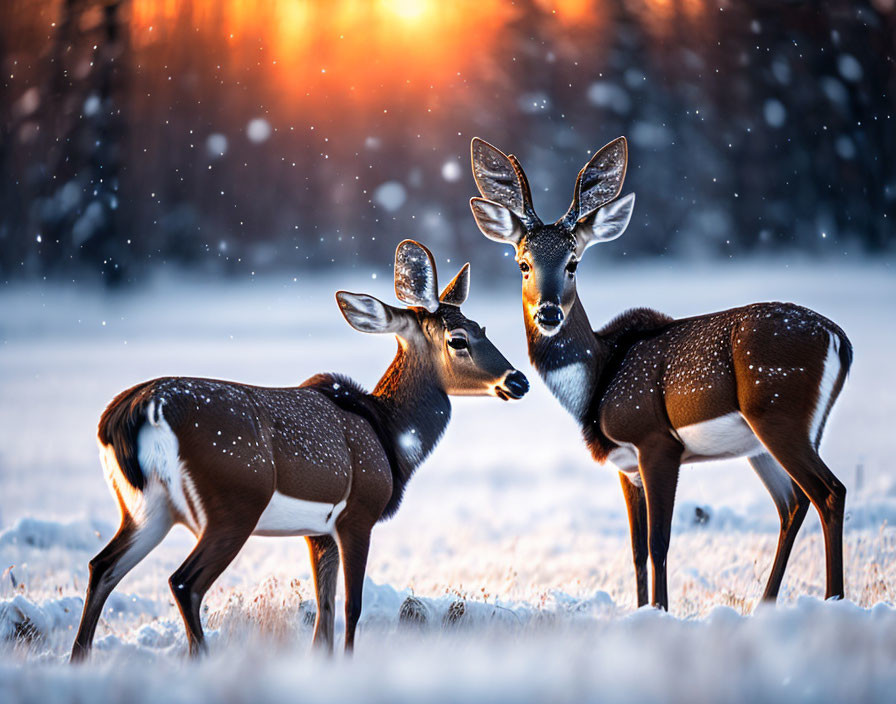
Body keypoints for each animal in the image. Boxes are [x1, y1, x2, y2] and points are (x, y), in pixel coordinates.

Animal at [72, 241, 532, 660]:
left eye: (483, 327)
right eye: (459, 339)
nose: (519, 380)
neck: (388, 434)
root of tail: (136, 410)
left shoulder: (318, 531)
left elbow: (323, 613)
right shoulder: (358, 512)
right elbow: (351, 606)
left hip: (146, 507)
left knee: (102, 567)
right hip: (233, 501)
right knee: (183, 582)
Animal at [468, 138, 856, 612]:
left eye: (574, 262)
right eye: (522, 263)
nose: (549, 312)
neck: (599, 376)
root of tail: (840, 339)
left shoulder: (656, 440)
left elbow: (659, 543)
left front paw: (660, 611)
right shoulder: (626, 465)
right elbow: (635, 548)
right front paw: (642, 610)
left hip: (780, 414)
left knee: (829, 493)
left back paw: (834, 600)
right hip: (765, 440)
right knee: (792, 503)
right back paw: (767, 604)